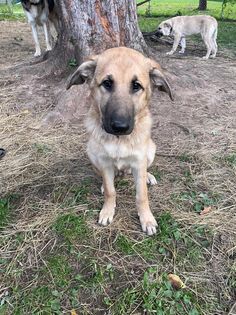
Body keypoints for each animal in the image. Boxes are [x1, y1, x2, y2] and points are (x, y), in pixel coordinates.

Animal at [67, 46, 173, 235]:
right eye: (107, 83)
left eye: (136, 86)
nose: (119, 126)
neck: (119, 141)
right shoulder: (104, 161)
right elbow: (111, 191)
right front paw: (107, 210)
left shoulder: (139, 161)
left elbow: (142, 195)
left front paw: (147, 219)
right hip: (91, 152)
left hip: (150, 150)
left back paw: (148, 176)